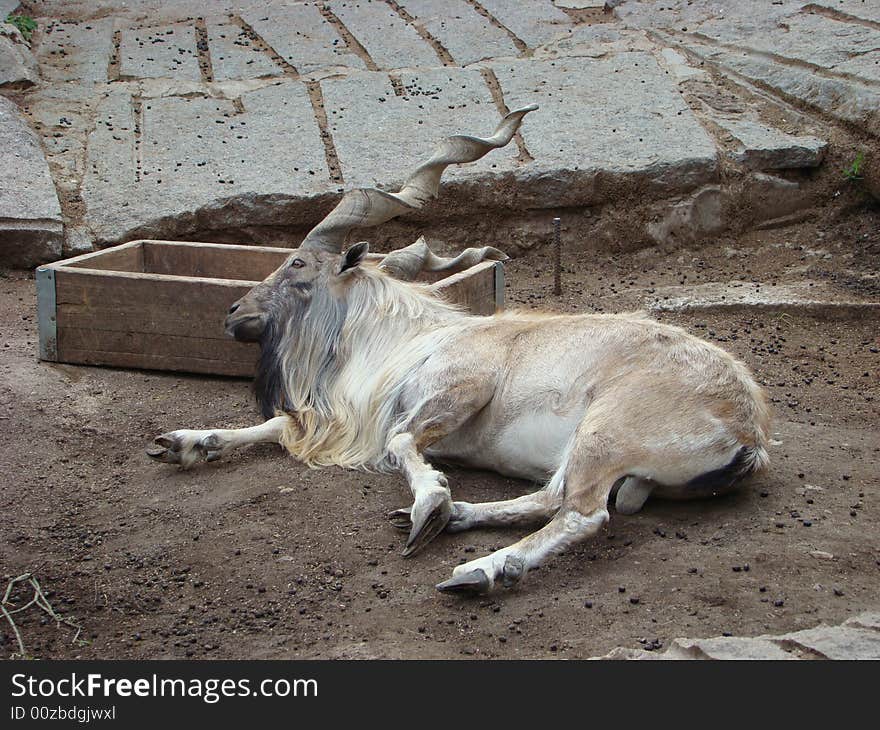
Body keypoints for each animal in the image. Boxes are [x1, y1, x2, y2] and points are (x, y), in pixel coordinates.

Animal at [146, 106, 768, 592]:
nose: (233, 313)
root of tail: (750, 432)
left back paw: (481, 568)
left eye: (297, 263)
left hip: (606, 432)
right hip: (584, 450)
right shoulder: (355, 417)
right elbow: (281, 424)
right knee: (551, 497)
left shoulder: (458, 388)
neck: (408, 343)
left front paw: (432, 504)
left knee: (582, 514)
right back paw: (459, 519)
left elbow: (399, 441)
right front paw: (184, 442)